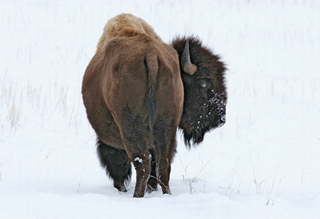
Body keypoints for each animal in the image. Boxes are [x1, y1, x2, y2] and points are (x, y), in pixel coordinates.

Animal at [82, 13, 228, 198]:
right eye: (203, 84)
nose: (221, 119)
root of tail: (150, 54)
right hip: (166, 124)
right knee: (163, 163)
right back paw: (165, 194)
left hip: (131, 127)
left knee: (142, 162)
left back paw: (137, 196)